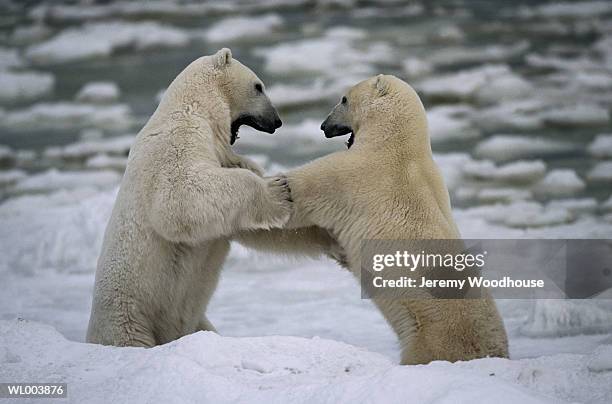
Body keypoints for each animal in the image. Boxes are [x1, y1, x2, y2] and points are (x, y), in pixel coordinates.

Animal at [86, 48, 294, 348]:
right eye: (259, 86)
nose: (276, 121)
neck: (193, 106)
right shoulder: (178, 140)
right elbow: (180, 195)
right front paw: (277, 190)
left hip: (192, 321)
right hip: (128, 317)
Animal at [237, 74, 510, 364]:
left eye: (344, 99)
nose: (324, 126)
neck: (400, 145)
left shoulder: (352, 174)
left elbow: (293, 202)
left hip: (432, 337)